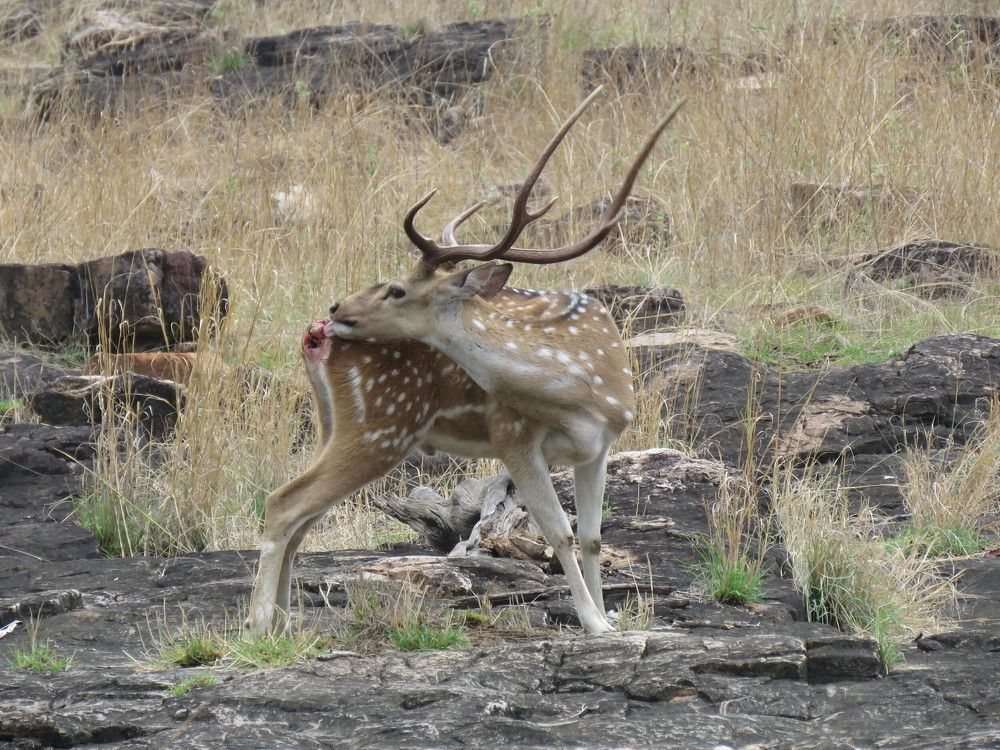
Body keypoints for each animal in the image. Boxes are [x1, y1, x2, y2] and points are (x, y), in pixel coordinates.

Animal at [249, 88, 683, 635]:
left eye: (397, 289)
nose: (337, 307)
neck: (579, 392)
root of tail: (313, 337)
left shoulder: (599, 448)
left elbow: (591, 538)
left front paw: (607, 618)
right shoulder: (512, 435)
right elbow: (559, 533)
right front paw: (595, 624)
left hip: (339, 424)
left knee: (303, 516)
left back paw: (283, 621)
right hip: (381, 425)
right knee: (284, 502)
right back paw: (258, 624)